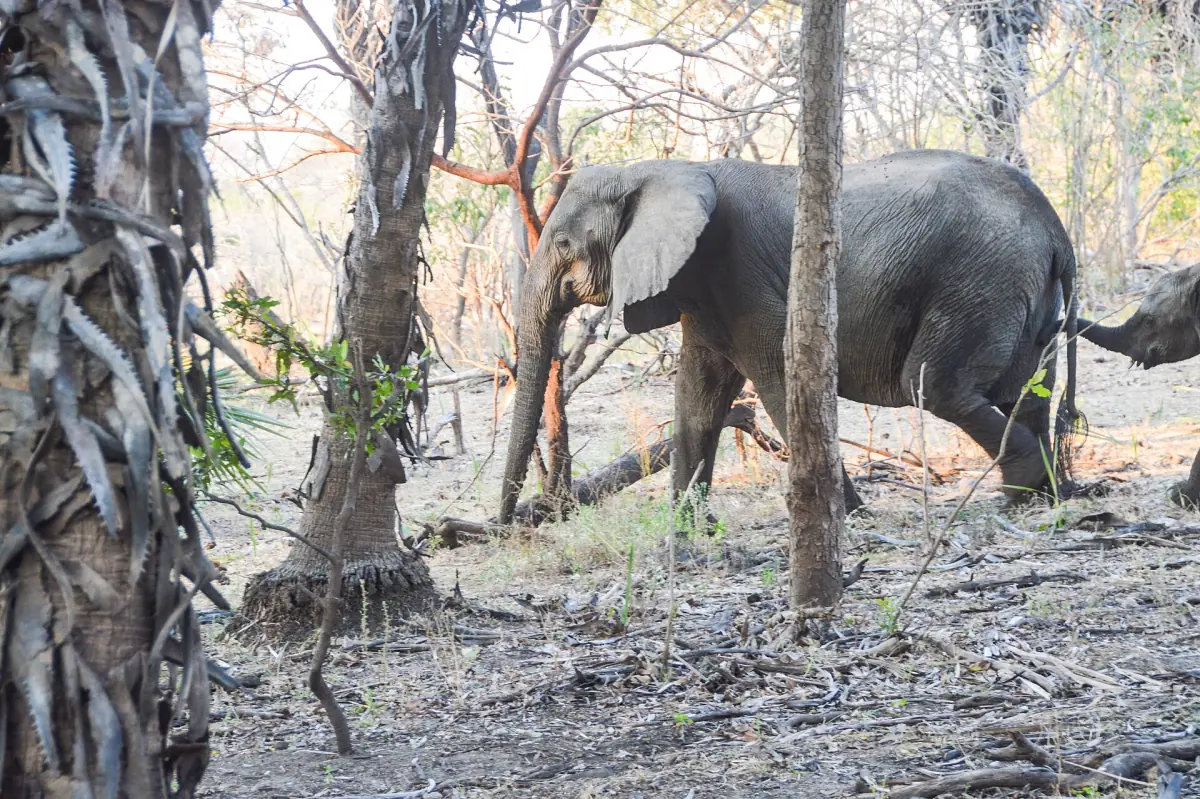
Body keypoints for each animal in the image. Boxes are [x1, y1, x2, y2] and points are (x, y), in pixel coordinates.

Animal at [497, 149, 1081, 525]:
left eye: (566, 244)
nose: (510, 523)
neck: (653, 169)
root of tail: (1055, 227)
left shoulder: (737, 271)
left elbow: (778, 383)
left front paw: (850, 517)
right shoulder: (702, 289)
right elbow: (698, 395)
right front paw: (686, 526)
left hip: (979, 278)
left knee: (937, 387)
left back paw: (1023, 489)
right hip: (1022, 288)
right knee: (1027, 393)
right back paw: (1048, 495)